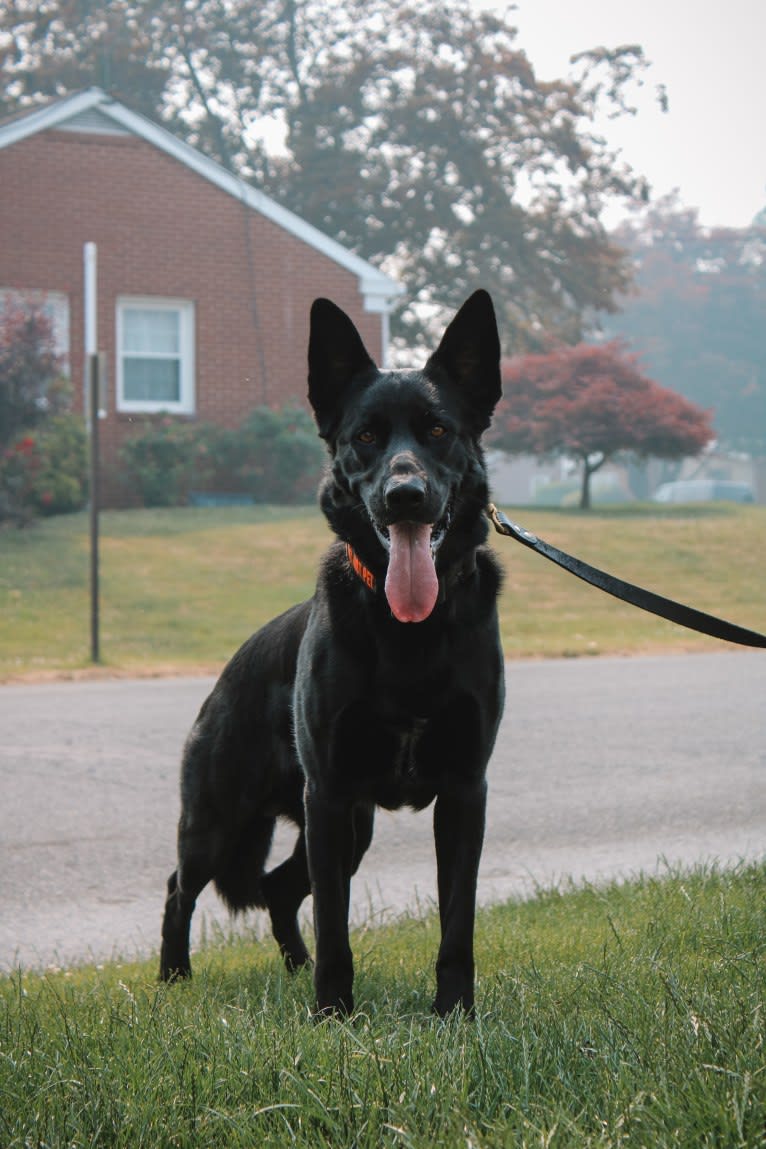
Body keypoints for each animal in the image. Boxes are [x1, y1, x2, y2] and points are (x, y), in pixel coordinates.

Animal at [159, 289, 505, 1015]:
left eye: (438, 432)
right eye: (365, 437)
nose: (405, 496)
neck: (409, 631)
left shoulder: (465, 793)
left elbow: (456, 919)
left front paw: (455, 1013)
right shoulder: (329, 795)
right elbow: (335, 920)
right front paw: (333, 1015)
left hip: (354, 827)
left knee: (279, 888)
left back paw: (294, 968)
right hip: (220, 818)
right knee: (181, 887)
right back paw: (174, 980)